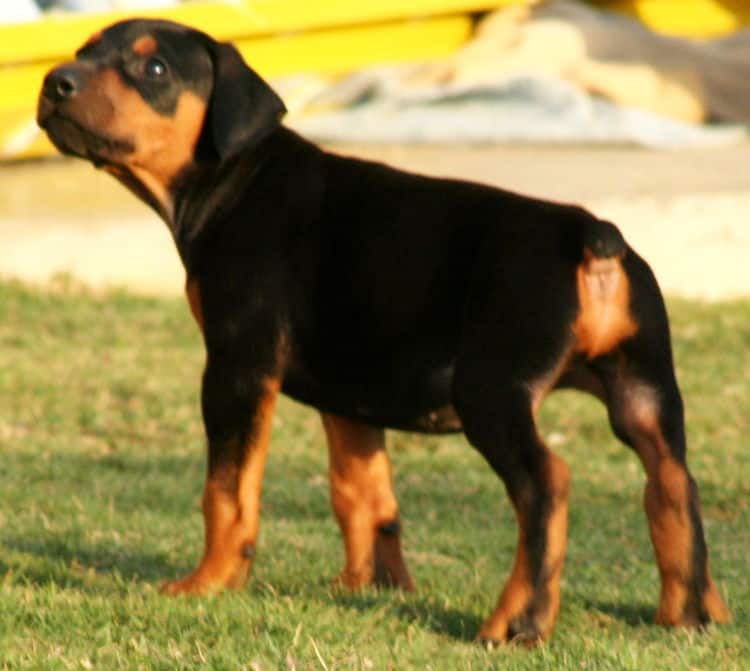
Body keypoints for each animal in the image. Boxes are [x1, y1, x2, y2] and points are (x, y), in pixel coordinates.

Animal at [36, 17, 728, 644]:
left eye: (153, 68)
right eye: (83, 51)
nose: (54, 82)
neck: (236, 177)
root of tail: (591, 234)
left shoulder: (237, 365)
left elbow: (227, 489)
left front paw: (209, 582)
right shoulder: (349, 393)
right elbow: (362, 492)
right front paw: (370, 586)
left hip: (493, 389)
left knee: (548, 484)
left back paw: (517, 622)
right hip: (646, 394)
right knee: (673, 484)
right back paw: (691, 614)